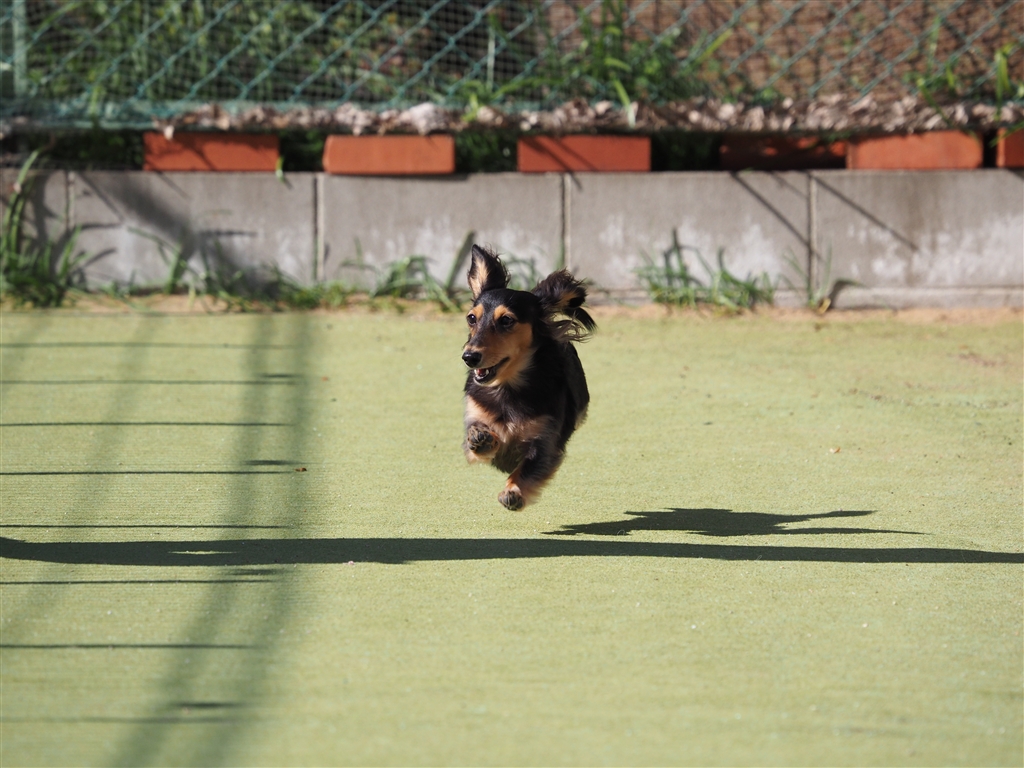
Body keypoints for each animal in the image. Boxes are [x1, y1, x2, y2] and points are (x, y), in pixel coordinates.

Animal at [461, 246, 595, 510]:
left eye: (506, 320)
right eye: (471, 318)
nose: (469, 357)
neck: (507, 389)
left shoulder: (545, 442)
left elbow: (527, 469)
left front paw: (513, 491)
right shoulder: (474, 417)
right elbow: (476, 442)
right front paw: (482, 439)